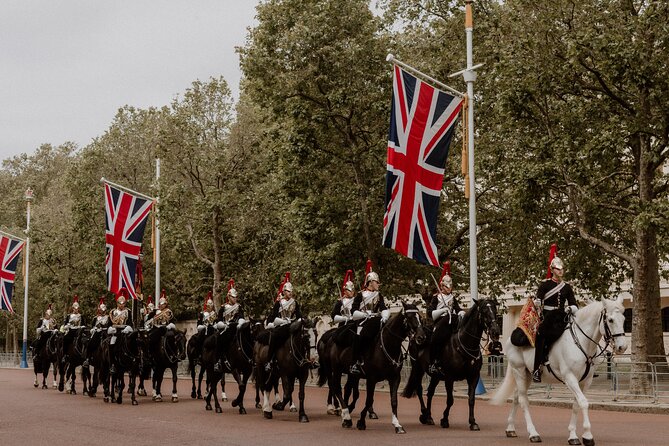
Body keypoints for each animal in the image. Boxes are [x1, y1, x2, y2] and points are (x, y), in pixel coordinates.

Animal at [400, 298, 498, 430]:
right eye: (484, 311)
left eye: (495, 310)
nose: (495, 331)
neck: (464, 344)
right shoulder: (449, 378)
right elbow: (450, 400)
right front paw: (445, 420)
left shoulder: (473, 377)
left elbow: (471, 399)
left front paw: (473, 422)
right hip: (418, 368)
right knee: (420, 389)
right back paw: (424, 414)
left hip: (435, 376)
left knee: (430, 392)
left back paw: (429, 417)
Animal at [490, 296, 628, 446]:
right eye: (611, 320)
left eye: (624, 319)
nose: (622, 347)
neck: (581, 342)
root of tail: (510, 339)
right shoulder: (570, 378)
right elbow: (583, 402)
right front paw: (588, 435)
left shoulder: (586, 381)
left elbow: (576, 404)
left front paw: (573, 435)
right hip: (519, 371)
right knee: (523, 400)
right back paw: (533, 433)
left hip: (527, 375)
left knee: (516, 397)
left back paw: (510, 428)